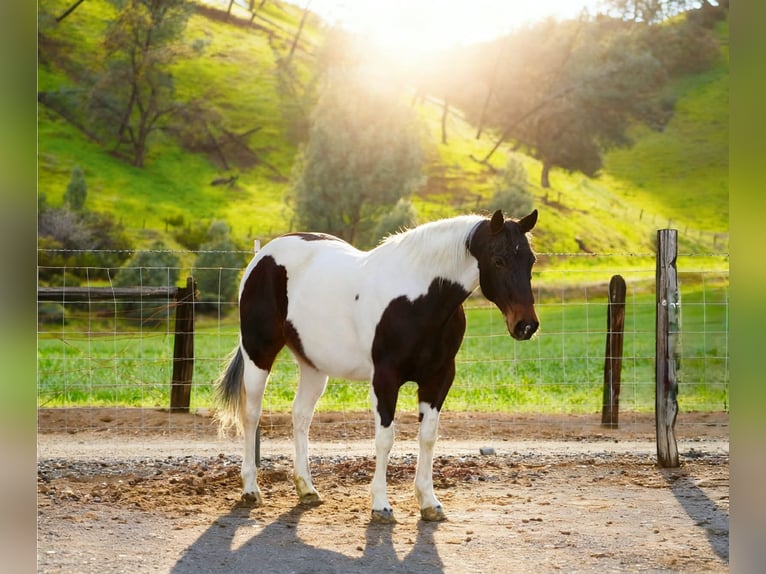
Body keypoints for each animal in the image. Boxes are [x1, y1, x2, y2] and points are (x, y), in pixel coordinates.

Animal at [216, 208, 539, 523]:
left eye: (531, 260)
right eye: (498, 260)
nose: (526, 325)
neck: (419, 299)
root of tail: (263, 256)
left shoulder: (439, 378)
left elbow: (428, 437)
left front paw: (429, 503)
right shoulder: (385, 378)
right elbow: (385, 439)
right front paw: (381, 506)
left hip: (313, 366)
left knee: (301, 417)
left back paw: (307, 489)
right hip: (258, 353)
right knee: (251, 415)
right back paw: (250, 490)